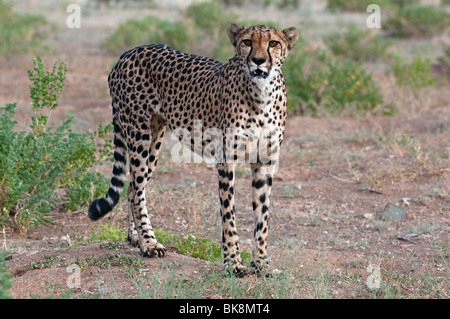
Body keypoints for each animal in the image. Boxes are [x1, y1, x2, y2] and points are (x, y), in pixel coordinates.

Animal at [88, 22, 298, 276]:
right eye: (247, 42)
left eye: (273, 43)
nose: (258, 60)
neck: (262, 93)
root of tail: (128, 52)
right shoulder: (226, 159)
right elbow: (229, 215)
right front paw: (233, 262)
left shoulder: (265, 161)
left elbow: (262, 216)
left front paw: (261, 264)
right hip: (139, 135)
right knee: (137, 190)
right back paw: (149, 243)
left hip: (154, 142)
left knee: (131, 187)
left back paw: (135, 238)